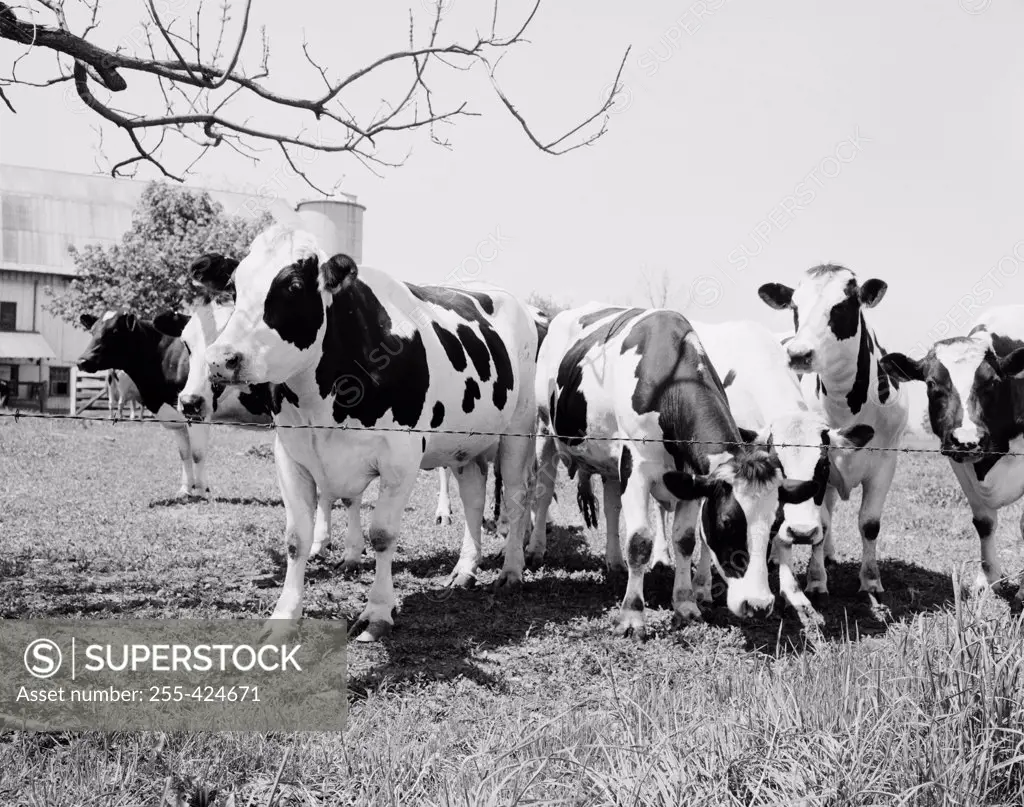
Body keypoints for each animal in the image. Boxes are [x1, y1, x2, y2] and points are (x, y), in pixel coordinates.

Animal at [195, 224, 540, 639]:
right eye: (234, 286)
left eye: (294, 285)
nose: (221, 359)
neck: (323, 398)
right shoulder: (290, 455)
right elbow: (297, 539)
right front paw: (284, 617)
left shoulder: (401, 458)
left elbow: (382, 535)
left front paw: (377, 612)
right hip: (465, 445)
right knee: (473, 495)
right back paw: (464, 570)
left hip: (519, 430)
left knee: (518, 496)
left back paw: (512, 570)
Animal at [524, 299, 819, 634]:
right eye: (727, 522)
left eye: (774, 523)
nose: (758, 605)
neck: (670, 384)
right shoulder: (637, 467)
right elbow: (639, 541)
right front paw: (632, 616)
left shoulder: (692, 479)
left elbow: (685, 540)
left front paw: (686, 605)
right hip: (545, 431)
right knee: (543, 492)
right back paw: (535, 549)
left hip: (611, 461)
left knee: (612, 507)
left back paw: (614, 562)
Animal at [757, 264, 909, 593]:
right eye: (795, 307)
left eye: (841, 307)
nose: (798, 354)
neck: (846, 404)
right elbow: (822, 522)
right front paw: (816, 579)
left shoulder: (885, 462)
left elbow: (869, 524)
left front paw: (871, 579)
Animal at [880, 305, 1024, 602]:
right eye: (931, 384)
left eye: (992, 382)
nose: (968, 439)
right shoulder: (958, 459)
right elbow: (984, 522)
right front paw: (987, 582)